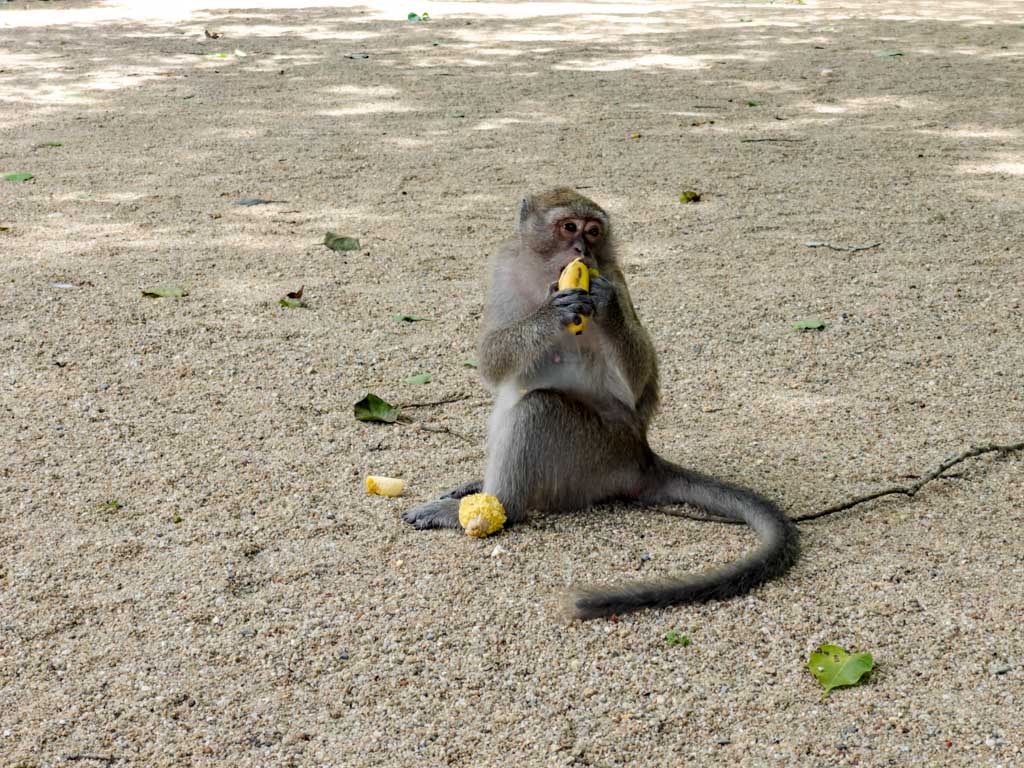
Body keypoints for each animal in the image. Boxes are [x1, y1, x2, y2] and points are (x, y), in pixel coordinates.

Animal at [403, 187, 799, 619]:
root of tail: (642, 455)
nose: (582, 249)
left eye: (593, 231)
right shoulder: (504, 269)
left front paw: (603, 306)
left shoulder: (618, 279)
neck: (544, 275)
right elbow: (494, 360)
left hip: (597, 455)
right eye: (568, 227)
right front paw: (550, 313)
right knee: (517, 393)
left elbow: (638, 386)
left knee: (537, 408)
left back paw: (501, 506)